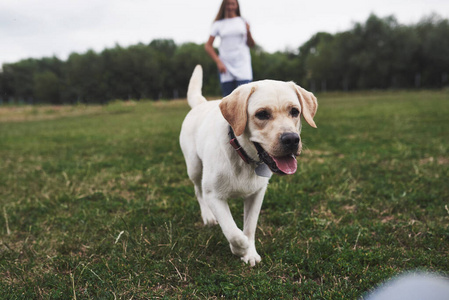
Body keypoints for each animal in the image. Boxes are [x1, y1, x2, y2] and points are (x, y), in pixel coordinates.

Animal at [179, 66, 318, 268]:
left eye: (295, 111)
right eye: (262, 114)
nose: (291, 139)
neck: (244, 158)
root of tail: (201, 104)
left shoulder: (257, 194)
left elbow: (250, 227)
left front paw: (250, 253)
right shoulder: (213, 196)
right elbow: (233, 232)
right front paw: (241, 248)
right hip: (194, 167)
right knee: (198, 191)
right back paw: (208, 216)